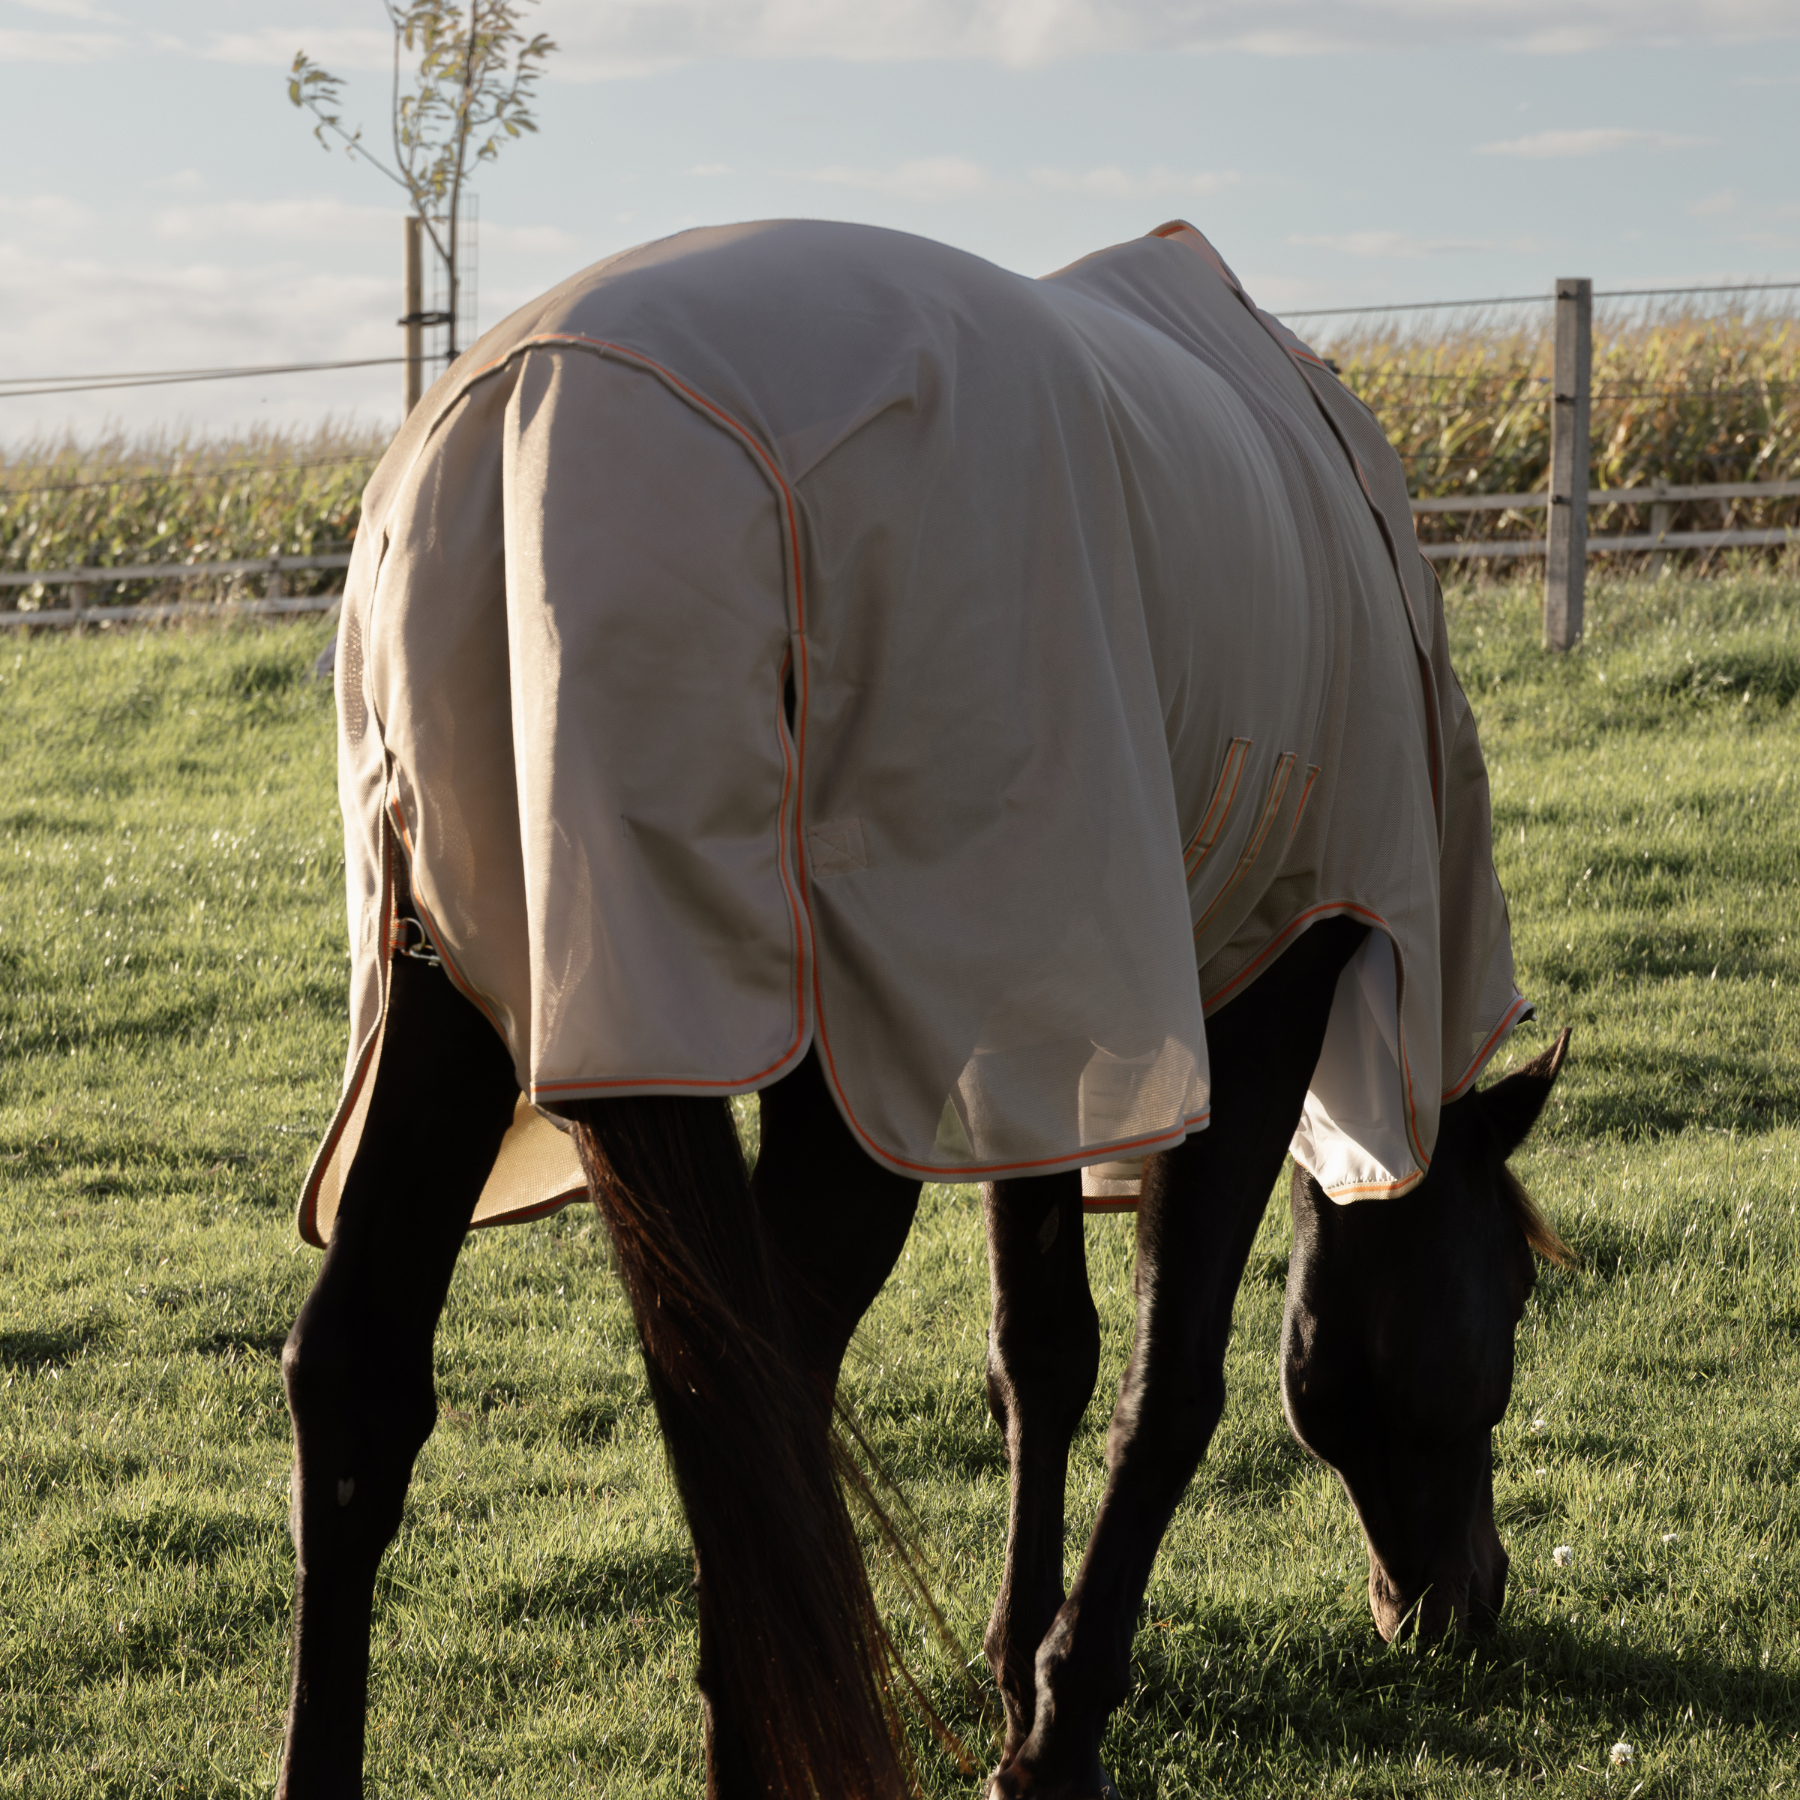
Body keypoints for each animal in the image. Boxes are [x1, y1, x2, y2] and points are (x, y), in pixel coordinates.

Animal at [273, 221, 1569, 1800]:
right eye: (1512, 1297)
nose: (1463, 1600)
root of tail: (530, 438)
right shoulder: (1275, 971)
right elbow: (1170, 1384)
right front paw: (1058, 1732)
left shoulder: (1041, 1019)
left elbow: (1044, 1350)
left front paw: (1019, 1667)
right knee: (759, 1423)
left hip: (453, 999)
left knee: (368, 1386)